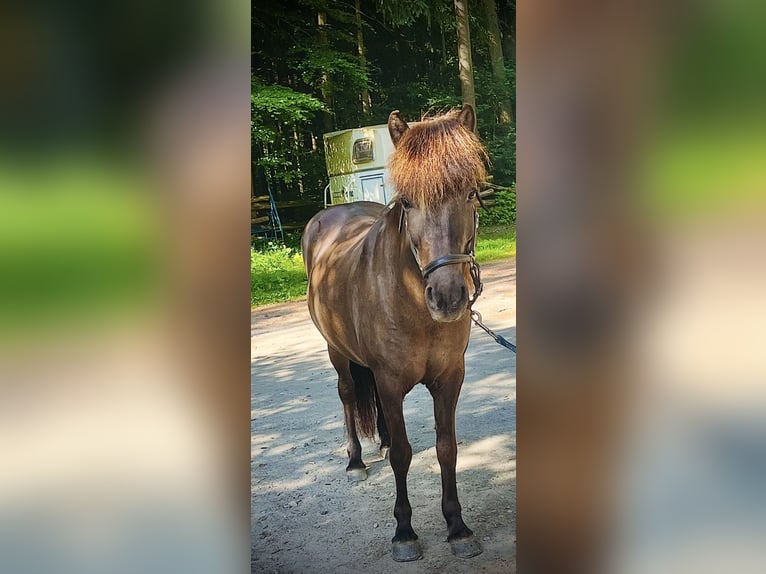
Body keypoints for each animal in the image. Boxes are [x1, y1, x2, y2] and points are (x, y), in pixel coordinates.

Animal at [301, 104, 487, 562]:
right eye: (406, 201)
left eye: (470, 193)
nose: (447, 297)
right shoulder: (387, 380)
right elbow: (404, 456)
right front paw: (404, 532)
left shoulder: (449, 379)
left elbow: (446, 448)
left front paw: (457, 527)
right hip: (337, 352)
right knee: (348, 395)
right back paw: (356, 461)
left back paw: (380, 443)